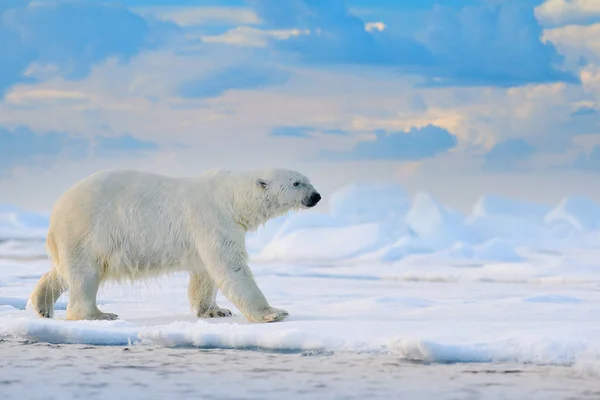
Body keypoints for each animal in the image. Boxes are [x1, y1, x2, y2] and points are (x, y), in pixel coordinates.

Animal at [29, 167, 318, 324]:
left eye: (308, 179)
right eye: (296, 183)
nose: (316, 196)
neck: (229, 198)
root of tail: (56, 209)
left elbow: (205, 273)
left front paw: (215, 311)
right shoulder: (211, 219)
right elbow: (230, 267)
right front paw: (274, 313)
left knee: (64, 271)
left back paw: (41, 305)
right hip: (87, 228)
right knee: (84, 275)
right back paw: (99, 315)